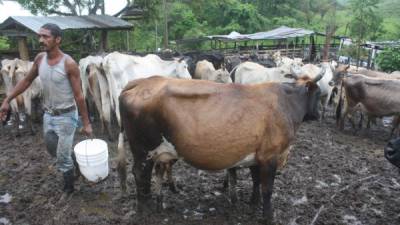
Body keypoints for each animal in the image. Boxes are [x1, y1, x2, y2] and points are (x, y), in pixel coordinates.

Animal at [117, 70, 324, 223]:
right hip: (144, 149)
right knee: (140, 174)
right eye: (319, 93)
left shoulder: (257, 156)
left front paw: (253, 203)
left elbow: (256, 181)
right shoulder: (270, 156)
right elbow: (267, 189)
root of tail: (142, 82)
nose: (319, 114)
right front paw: (268, 216)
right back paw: (144, 209)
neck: (286, 102)